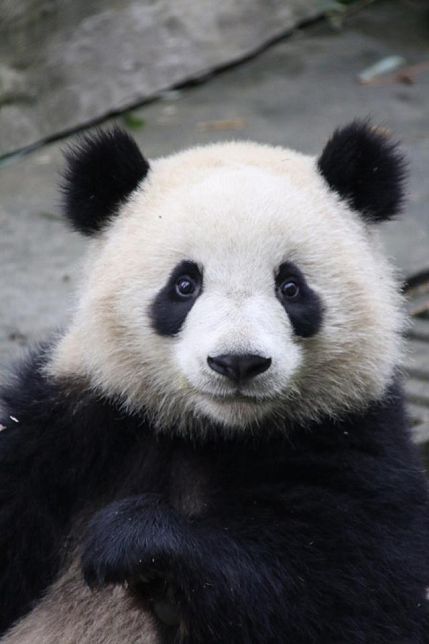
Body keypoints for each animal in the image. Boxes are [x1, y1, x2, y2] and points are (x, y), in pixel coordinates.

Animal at [0, 122, 428, 643]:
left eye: (290, 287)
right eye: (185, 285)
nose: (238, 362)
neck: (211, 432)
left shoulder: (352, 439)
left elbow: (349, 593)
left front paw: (135, 542)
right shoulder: (68, 424)